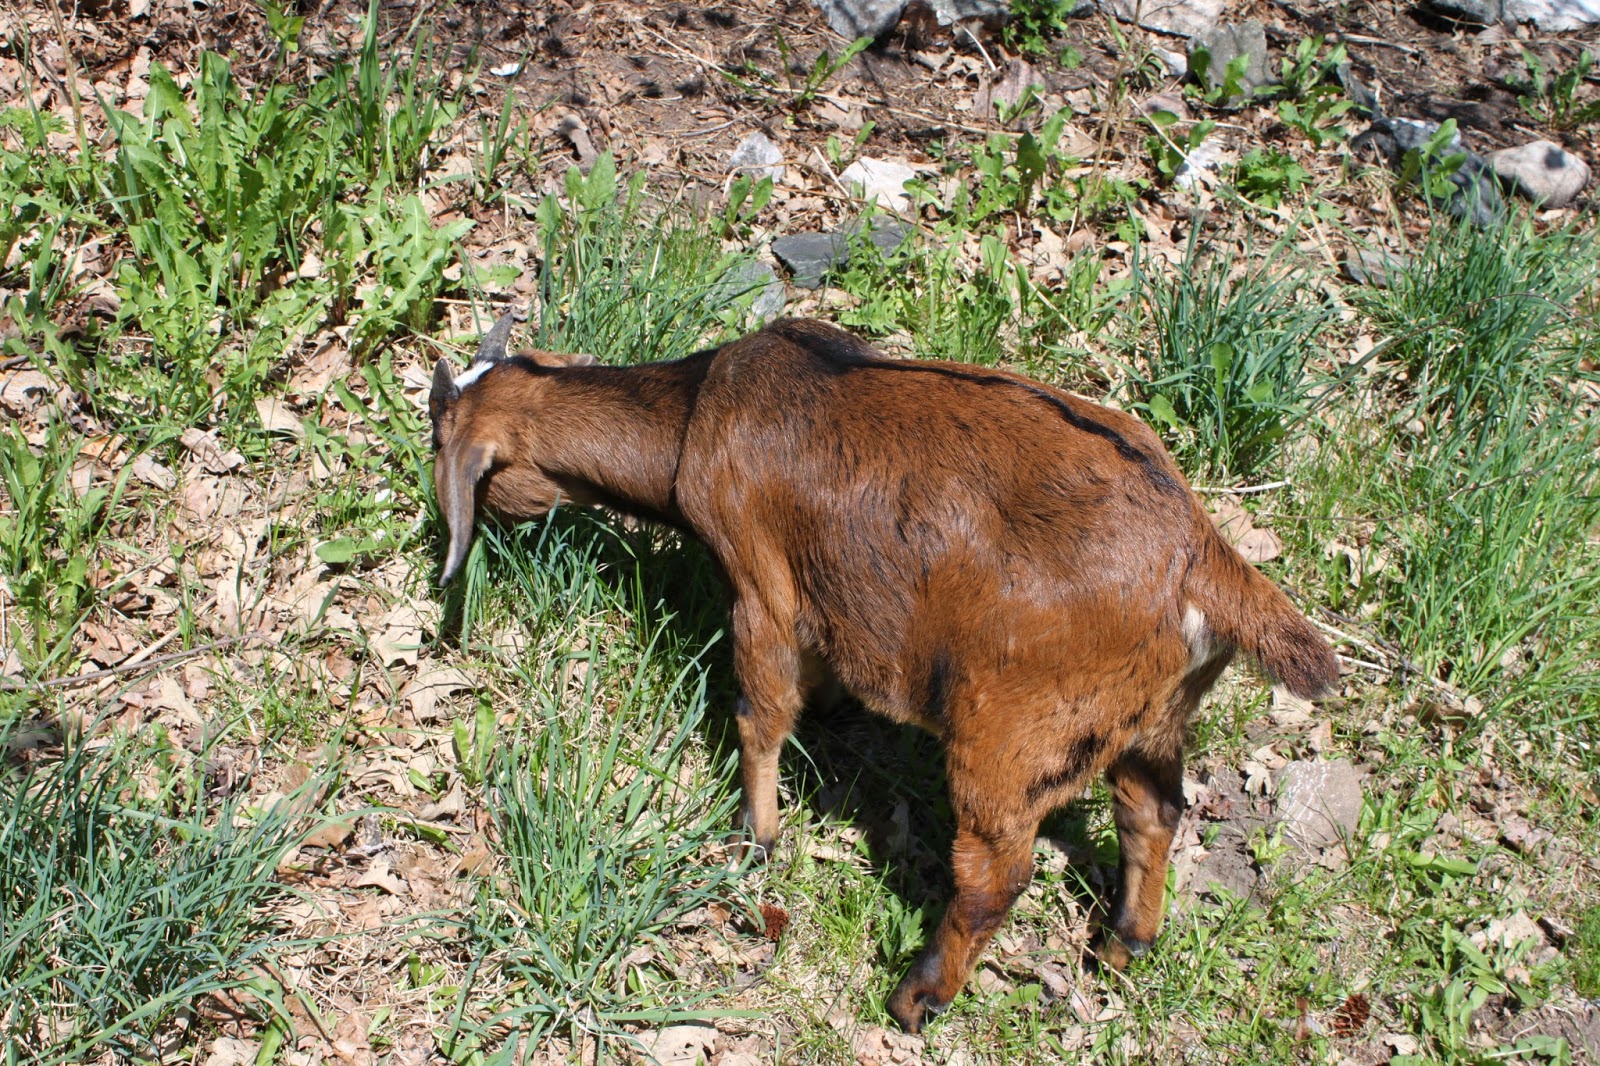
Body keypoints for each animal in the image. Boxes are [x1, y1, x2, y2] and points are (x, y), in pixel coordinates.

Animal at [427, 315, 1337, 1033]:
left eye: (442, 441)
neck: (694, 417)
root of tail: (1201, 557)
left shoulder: (761, 582)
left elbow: (761, 710)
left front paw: (755, 839)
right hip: (1156, 714)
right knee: (1154, 811)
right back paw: (1125, 943)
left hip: (1012, 727)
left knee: (996, 871)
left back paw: (919, 997)